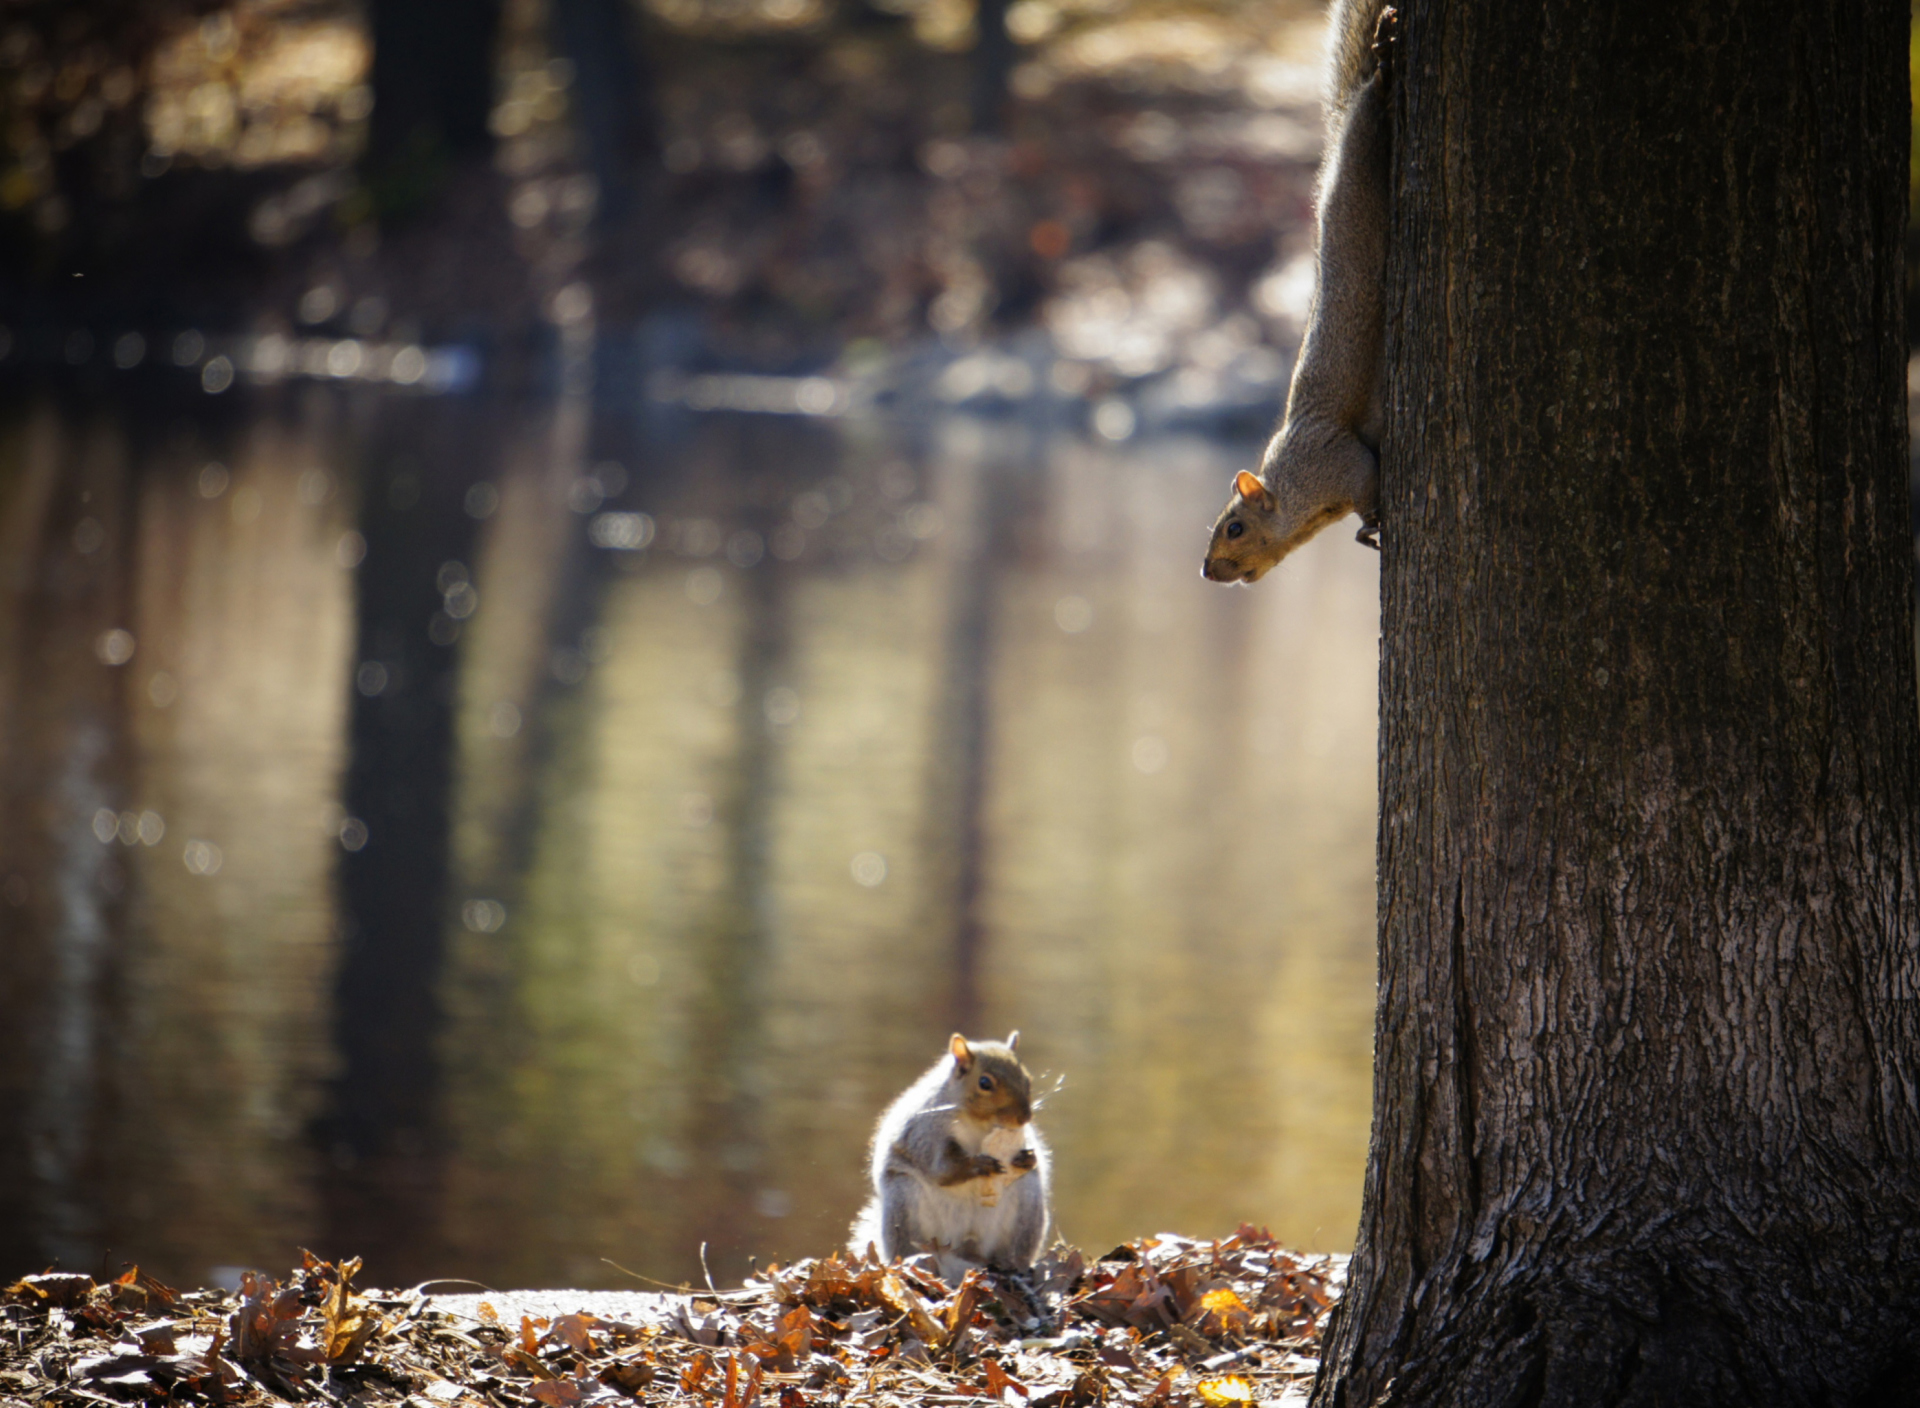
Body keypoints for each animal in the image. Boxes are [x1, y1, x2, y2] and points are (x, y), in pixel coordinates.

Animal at [848, 1029, 1052, 1283]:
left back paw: (1014, 1267)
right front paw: (978, 1164)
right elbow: (943, 1170)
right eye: (985, 1083)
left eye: (1027, 1079)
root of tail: (963, 1245)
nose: (1024, 1118)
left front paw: (1027, 1157)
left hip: (1027, 1207)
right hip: (903, 1203)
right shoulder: (926, 1132)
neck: (980, 1124)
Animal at [1198, 0, 1397, 583]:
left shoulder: (1336, 462)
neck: (1291, 489)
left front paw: (1368, 526)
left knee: (1370, 116)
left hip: (1362, 173)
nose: (1206, 571)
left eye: (1234, 528)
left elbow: (1365, 477)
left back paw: (1382, 65)